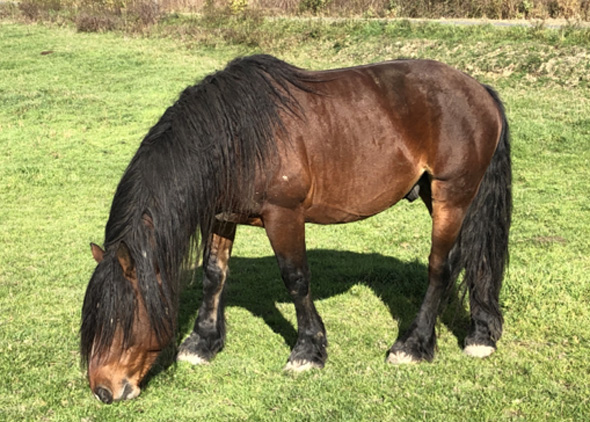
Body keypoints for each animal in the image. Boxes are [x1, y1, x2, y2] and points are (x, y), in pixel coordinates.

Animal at [80, 54, 512, 404]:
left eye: (121, 319)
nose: (103, 390)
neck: (236, 136)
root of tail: (480, 91)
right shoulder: (222, 217)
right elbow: (213, 276)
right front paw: (203, 342)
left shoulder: (283, 216)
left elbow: (296, 279)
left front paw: (308, 351)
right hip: (441, 195)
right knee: (475, 256)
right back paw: (480, 335)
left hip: (451, 194)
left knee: (440, 266)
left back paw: (414, 345)